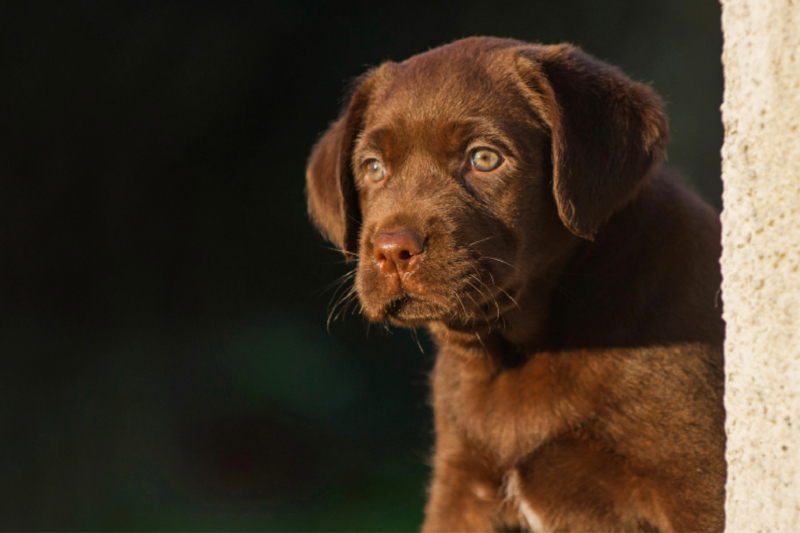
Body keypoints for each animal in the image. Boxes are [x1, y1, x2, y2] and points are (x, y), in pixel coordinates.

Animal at [304, 35, 724, 528]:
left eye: (485, 158)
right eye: (372, 168)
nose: (392, 252)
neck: (517, 347)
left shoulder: (698, 483)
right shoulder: (460, 489)